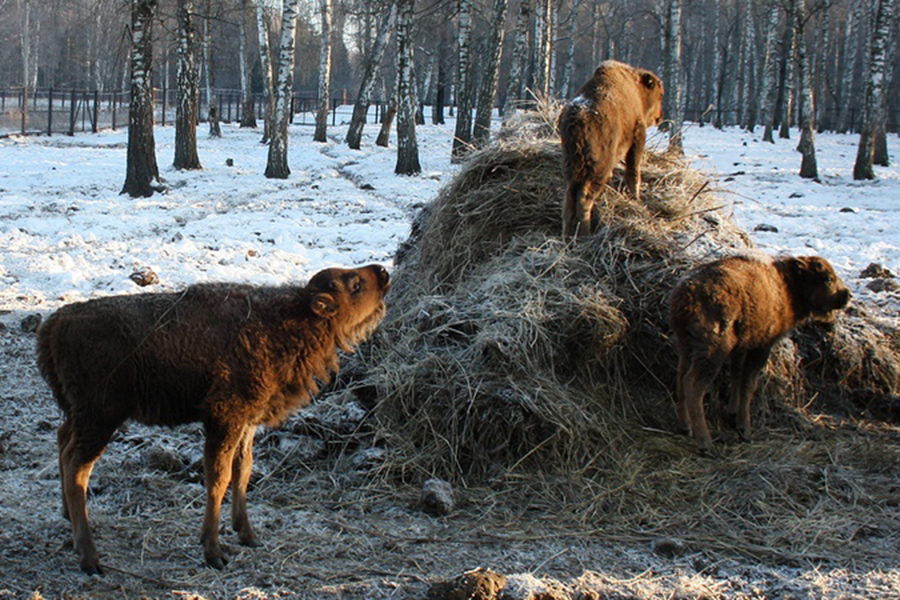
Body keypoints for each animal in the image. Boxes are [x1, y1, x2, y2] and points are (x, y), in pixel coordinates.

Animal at [38, 264, 390, 576]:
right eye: (355, 284)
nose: (383, 272)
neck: (289, 322)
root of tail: (55, 323)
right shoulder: (224, 419)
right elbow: (219, 480)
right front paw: (213, 551)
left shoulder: (247, 422)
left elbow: (243, 472)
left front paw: (248, 534)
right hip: (100, 417)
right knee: (78, 470)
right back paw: (90, 557)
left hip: (81, 414)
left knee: (62, 440)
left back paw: (68, 518)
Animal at [560, 60, 664, 239]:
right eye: (660, 94)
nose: (660, 117)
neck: (636, 89)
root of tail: (577, 118)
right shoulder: (638, 137)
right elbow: (633, 173)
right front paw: (636, 199)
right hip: (598, 169)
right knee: (584, 199)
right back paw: (586, 234)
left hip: (571, 168)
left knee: (568, 200)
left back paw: (565, 237)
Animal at [668, 254, 852, 454]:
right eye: (827, 278)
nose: (847, 295)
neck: (786, 285)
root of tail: (686, 294)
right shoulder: (761, 347)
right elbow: (748, 385)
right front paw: (745, 429)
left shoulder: (741, 347)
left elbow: (736, 375)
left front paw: (732, 414)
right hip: (713, 350)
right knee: (693, 383)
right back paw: (706, 444)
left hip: (685, 345)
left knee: (681, 376)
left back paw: (684, 427)